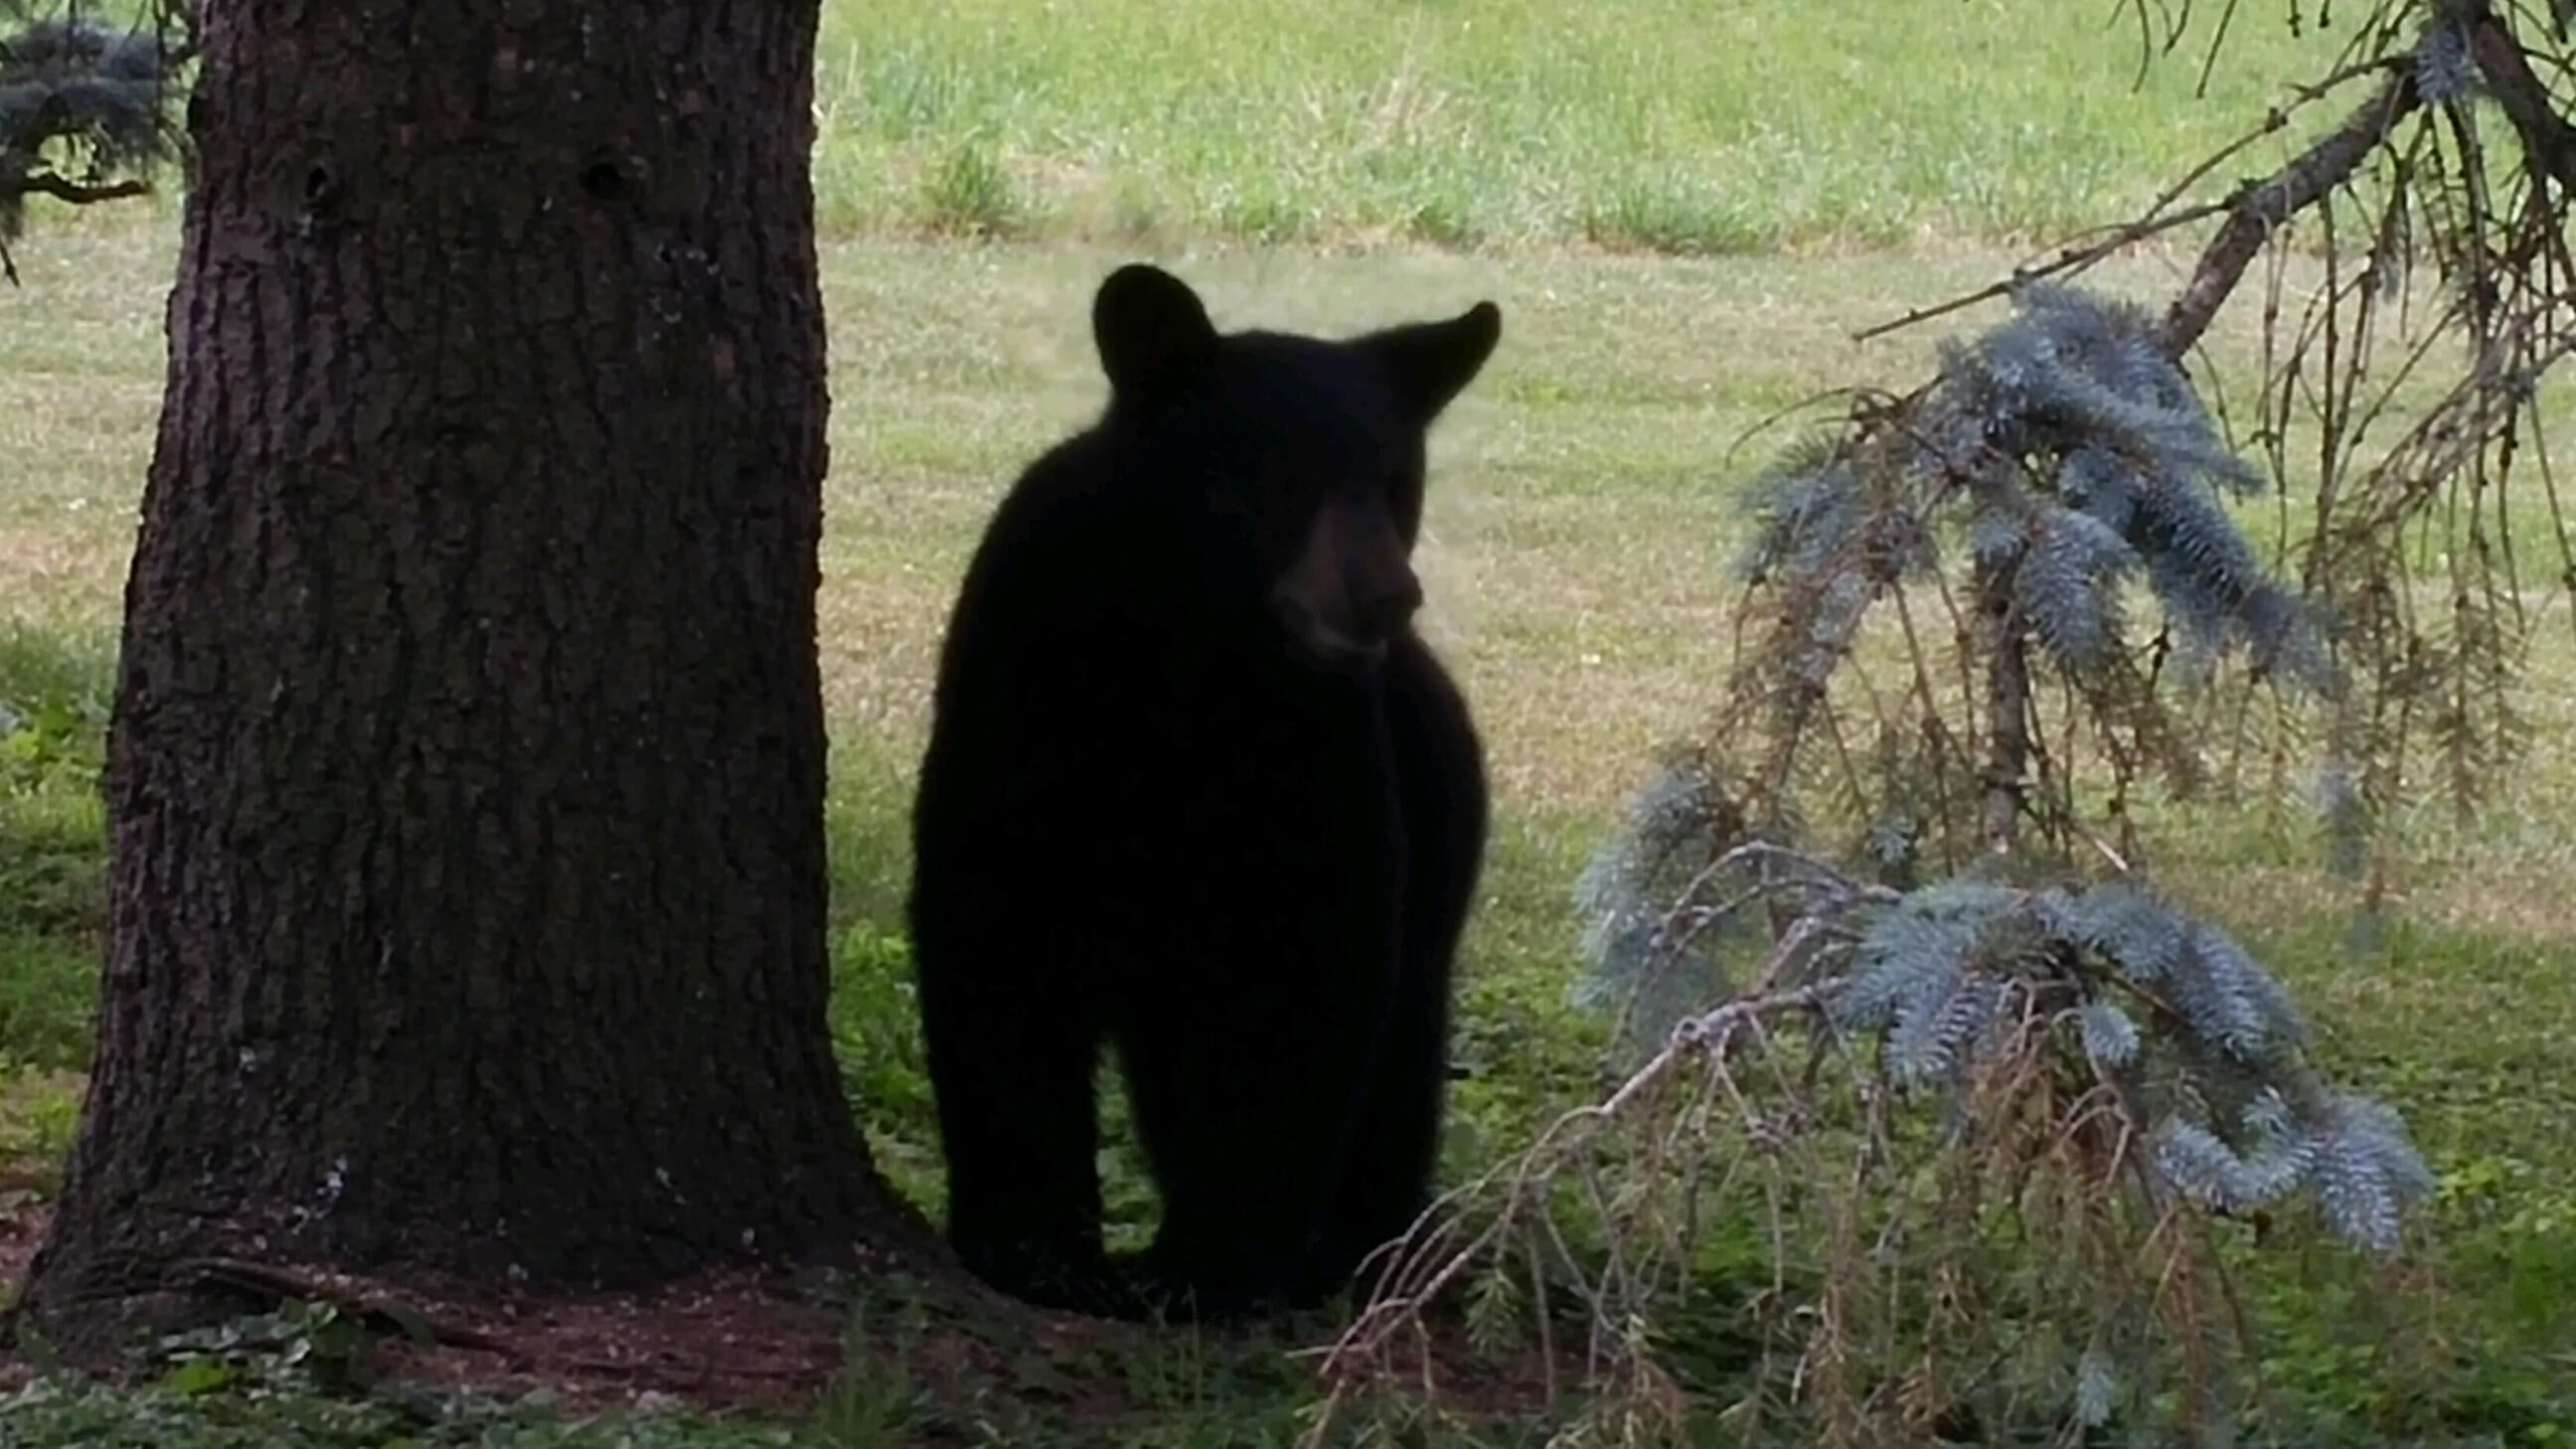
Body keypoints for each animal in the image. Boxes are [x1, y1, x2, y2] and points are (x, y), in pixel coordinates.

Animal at [906, 263, 1502, 1322]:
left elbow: (1312, 960)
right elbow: (998, 939)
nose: (1387, 596)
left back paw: (1360, 1248)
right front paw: (1035, 1247)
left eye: (1398, 482)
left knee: (1403, 1046)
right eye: (1286, 475)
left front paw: (1212, 1269)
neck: (1194, 646)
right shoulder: (1021, 682)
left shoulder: (1317, 736)